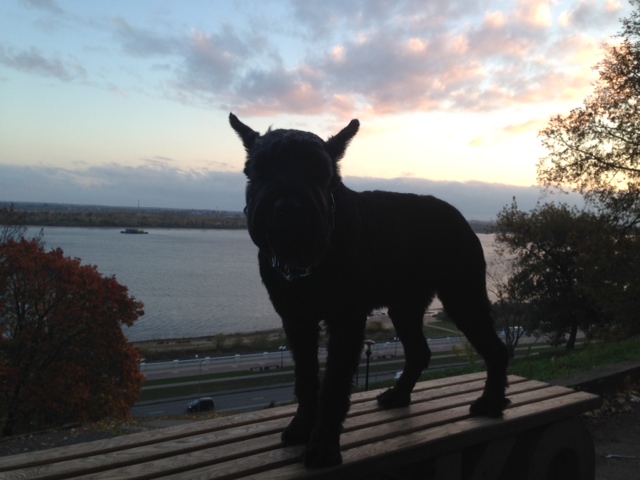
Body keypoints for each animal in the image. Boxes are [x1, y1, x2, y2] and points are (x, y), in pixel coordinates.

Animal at [229, 113, 510, 468]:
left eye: (319, 171)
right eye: (259, 168)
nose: (287, 206)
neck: (308, 259)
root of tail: (461, 217)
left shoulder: (346, 320)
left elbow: (334, 385)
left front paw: (323, 447)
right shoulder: (296, 320)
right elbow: (306, 377)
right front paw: (302, 427)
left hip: (463, 297)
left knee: (496, 349)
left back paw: (491, 402)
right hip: (405, 307)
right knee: (419, 352)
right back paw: (399, 395)